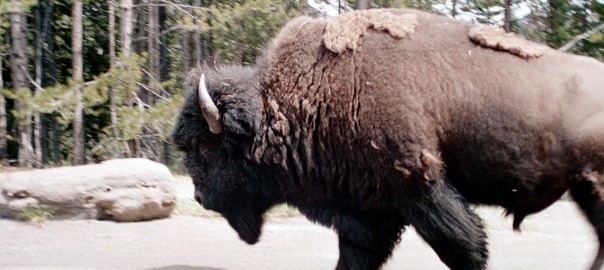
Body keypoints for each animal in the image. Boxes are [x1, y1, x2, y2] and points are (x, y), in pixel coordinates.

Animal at [171, 7, 604, 270]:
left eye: (206, 149)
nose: (199, 197)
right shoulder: (366, 213)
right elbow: (353, 257)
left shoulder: (420, 188)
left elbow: (465, 246)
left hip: (592, 188)